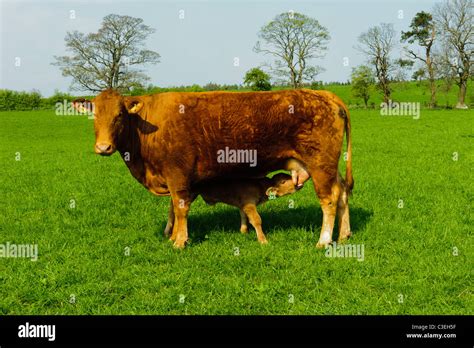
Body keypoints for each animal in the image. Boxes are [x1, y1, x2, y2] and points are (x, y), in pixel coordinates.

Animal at [76, 88, 354, 249]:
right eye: (94, 116)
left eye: (119, 116)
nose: (103, 147)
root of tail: (325, 93)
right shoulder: (175, 178)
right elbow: (173, 208)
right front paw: (172, 234)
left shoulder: (177, 174)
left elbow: (180, 209)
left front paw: (179, 241)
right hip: (330, 167)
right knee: (342, 193)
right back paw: (344, 234)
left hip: (320, 164)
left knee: (329, 200)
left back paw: (323, 241)